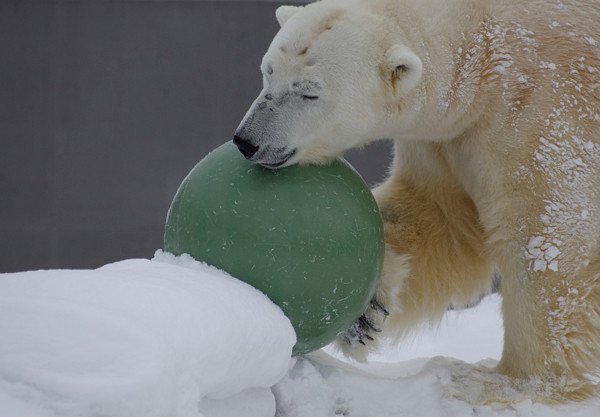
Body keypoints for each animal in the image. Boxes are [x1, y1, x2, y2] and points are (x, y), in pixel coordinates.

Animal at [232, 0, 600, 404]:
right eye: (268, 71)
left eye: (309, 92)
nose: (247, 141)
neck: (482, 38)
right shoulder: (448, 138)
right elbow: (441, 219)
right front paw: (367, 312)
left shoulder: (544, 113)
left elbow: (547, 243)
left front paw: (499, 382)